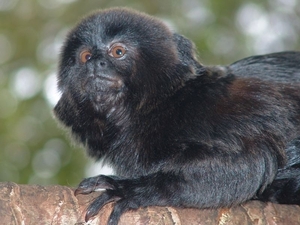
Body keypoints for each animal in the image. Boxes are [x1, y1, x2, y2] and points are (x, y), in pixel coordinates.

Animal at [54, 7, 300, 225]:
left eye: (118, 52)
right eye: (85, 56)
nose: (95, 64)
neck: (159, 109)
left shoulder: (212, 110)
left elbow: (251, 162)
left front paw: (128, 189)